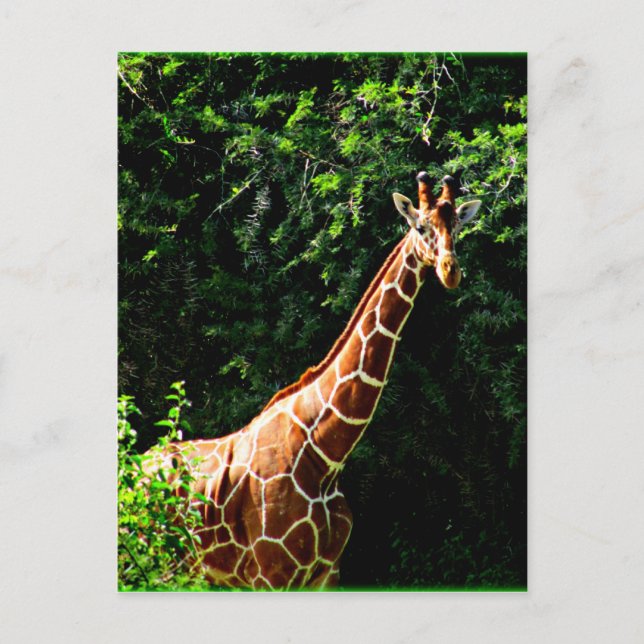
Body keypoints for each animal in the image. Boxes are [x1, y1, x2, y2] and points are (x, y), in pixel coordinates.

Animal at [143, 172, 481, 590]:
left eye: (458, 227)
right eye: (420, 227)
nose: (450, 271)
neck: (326, 454)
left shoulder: (327, 572)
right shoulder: (270, 574)